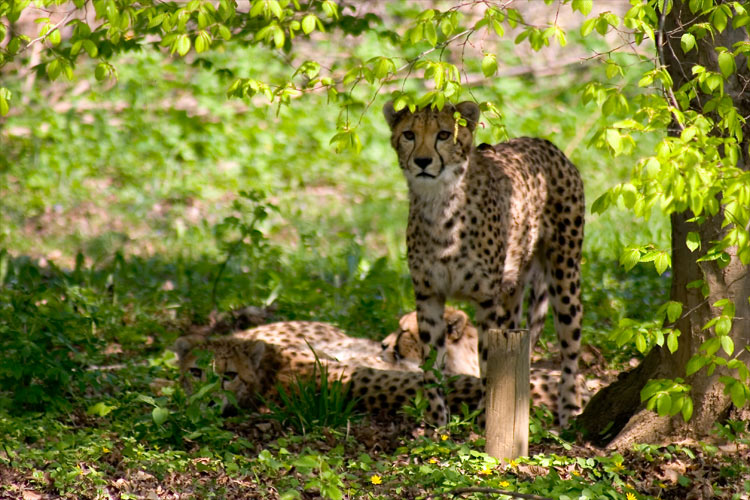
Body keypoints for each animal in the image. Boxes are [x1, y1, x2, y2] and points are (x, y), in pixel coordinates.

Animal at [384, 101, 584, 426]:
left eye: (443, 134)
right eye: (409, 134)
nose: (423, 161)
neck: (440, 203)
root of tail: (545, 143)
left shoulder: (487, 299)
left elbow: (489, 361)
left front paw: (484, 418)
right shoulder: (428, 294)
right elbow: (431, 361)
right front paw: (438, 420)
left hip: (564, 275)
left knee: (570, 349)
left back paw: (569, 412)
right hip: (514, 288)